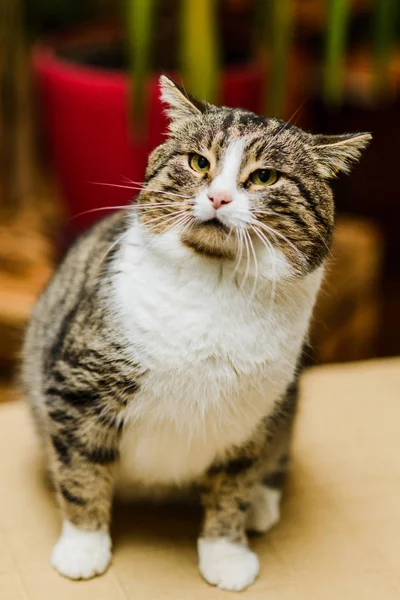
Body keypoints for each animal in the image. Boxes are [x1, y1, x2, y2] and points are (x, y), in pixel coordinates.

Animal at [21, 75, 370, 592]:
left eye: (265, 178)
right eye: (199, 162)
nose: (218, 198)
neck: (215, 286)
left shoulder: (253, 416)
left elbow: (233, 485)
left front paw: (226, 553)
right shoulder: (76, 386)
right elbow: (82, 473)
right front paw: (84, 546)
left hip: (287, 402)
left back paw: (261, 506)